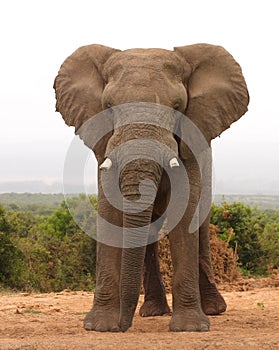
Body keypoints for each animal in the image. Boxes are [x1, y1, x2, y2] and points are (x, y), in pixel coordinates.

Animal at [54, 42, 249, 332]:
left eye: (177, 106)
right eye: (108, 106)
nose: (123, 326)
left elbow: (185, 215)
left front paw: (189, 328)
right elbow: (109, 214)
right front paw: (100, 326)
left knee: (200, 226)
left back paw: (213, 310)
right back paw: (153, 311)